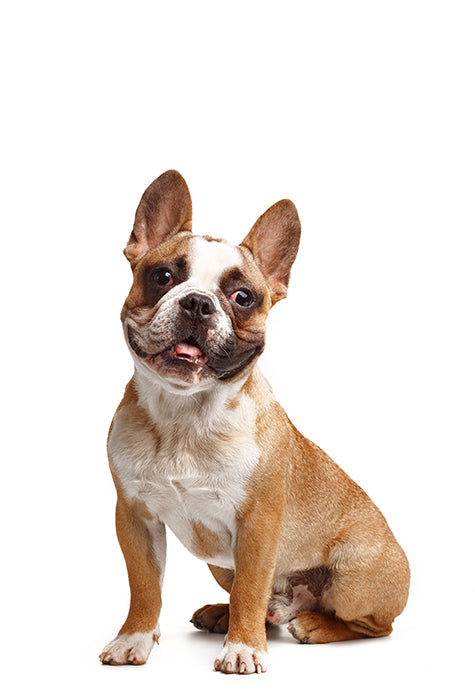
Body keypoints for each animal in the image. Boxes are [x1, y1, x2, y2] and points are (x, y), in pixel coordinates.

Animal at [99, 170, 410, 672]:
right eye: (162, 277)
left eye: (243, 297)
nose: (197, 303)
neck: (186, 418)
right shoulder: (135, 518)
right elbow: (145, 587)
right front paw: (135, 638)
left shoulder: (258, 526)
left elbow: (251, 586)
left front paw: (243, 649)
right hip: (219, 564)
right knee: (265, 604)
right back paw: (224, 613)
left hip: (353, 582)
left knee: (371, 625)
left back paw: (314, 625)